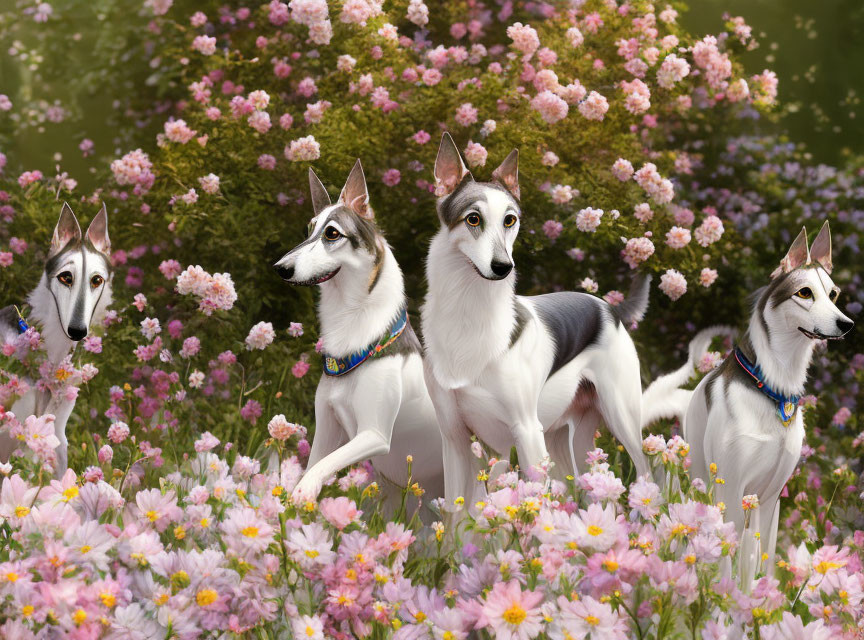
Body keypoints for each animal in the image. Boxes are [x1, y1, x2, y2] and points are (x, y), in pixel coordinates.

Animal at [274, 162, 442, 508]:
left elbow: (320, 468)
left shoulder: (373, 434)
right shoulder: (325, 430)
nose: (279, 268)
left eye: (332, 233)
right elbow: (317, 462)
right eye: (308, 230)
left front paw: (303, 492)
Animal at [684, 222, 852, 584]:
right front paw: (724, 596)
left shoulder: (772, 497)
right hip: (701, 478)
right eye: (804, 293)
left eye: (833, 294)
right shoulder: (731, 486)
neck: (773, 387)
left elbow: (761, 559)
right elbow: (726, 559)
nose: (847, 324)